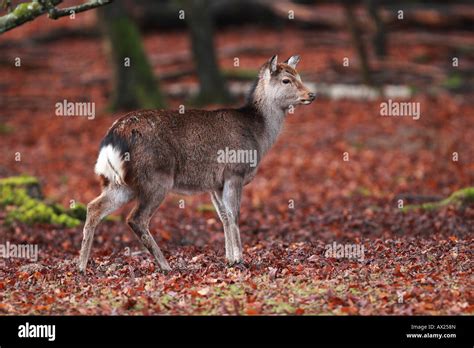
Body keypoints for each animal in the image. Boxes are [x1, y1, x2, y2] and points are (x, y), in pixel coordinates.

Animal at [78, 54, 314, 274]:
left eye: (300, 76)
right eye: (286, 80)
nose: (311, 94)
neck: (258, 135)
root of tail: (113, 137)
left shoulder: (215, 184)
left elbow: (224, 217)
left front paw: (229, 259)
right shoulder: (234, 172)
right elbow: (234, 215)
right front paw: (239, 259)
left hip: (120, 183)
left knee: (93, 207)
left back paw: (81, 266)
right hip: (156, 178)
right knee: (136, 219)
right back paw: (165, 265)